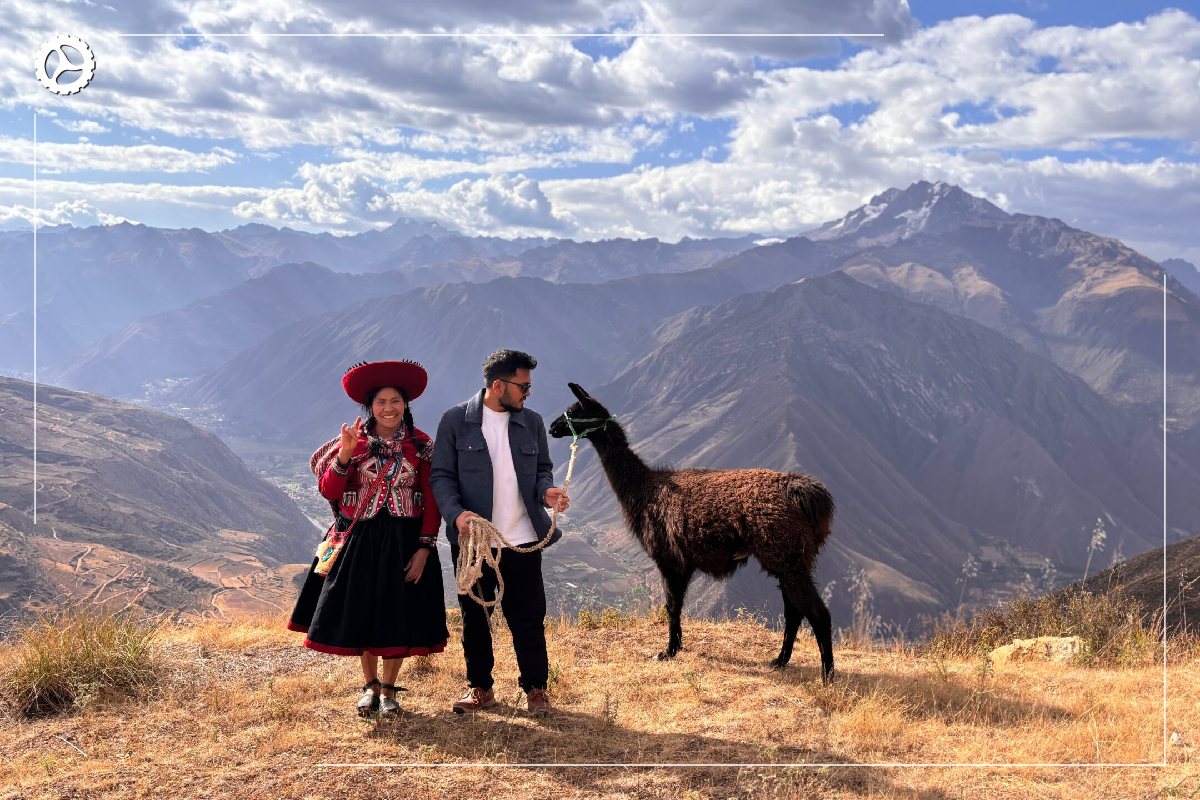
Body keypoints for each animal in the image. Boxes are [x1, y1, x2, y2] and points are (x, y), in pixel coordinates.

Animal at [548, 383, 836, 683]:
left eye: (573, 410)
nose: (552, 427)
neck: (644, 489)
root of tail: (807, 494)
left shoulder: (669, 558)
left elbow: (671, 606)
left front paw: (667, 652)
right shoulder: (683, 563)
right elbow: (677, 607)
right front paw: (676, 647)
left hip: (786, 555)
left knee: (817, 613)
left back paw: (826, 676)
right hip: (791, 558)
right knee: (794, 612)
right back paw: (780, 660)